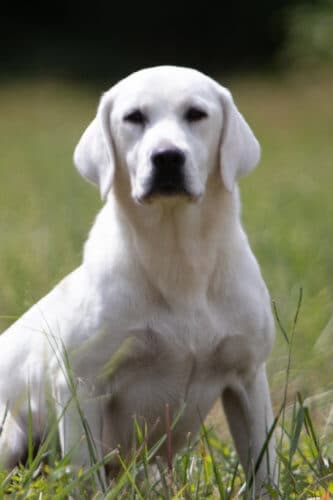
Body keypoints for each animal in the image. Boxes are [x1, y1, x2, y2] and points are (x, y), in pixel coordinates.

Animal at [0, 66, 274, 496]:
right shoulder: (80, 384)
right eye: (134, 117)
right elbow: (87, 474)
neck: (178, 261)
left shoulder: (248, 376)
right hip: (11, 429)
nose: (167, 157)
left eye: (197, 114)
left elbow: (263, 467)